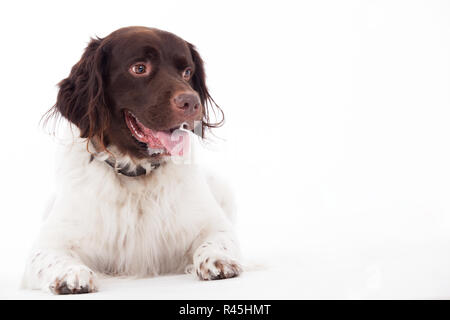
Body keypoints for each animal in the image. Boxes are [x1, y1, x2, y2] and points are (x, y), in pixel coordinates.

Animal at [21, 27, 243, 296]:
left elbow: (217, 240)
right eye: (139, 68)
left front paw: (218, 260)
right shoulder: (49, 242)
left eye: (187, 72)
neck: (136, 175)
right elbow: (51, 257)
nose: (191, 102)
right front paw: (71, 274)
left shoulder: (214, 224)